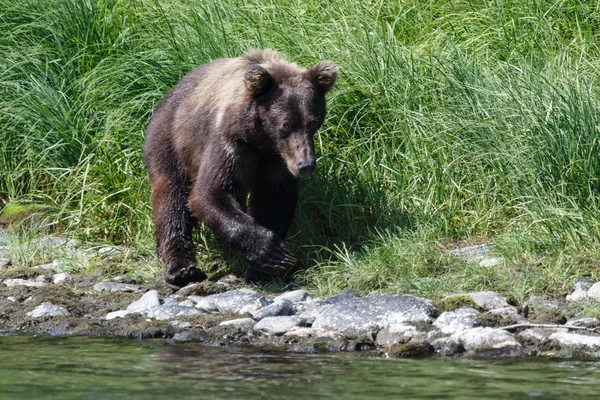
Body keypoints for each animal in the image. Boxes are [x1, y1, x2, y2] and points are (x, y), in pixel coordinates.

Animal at [142, 50, 338, 286]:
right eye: (286, 124)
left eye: (313, 122)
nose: (305, 164)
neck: (260, 137)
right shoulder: (231, 142)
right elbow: (212, 192)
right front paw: (272, 252)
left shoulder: (276, 158)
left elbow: (273, 199)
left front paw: (263, 269)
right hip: (170, 143)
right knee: (171, 198)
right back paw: (182, 269)